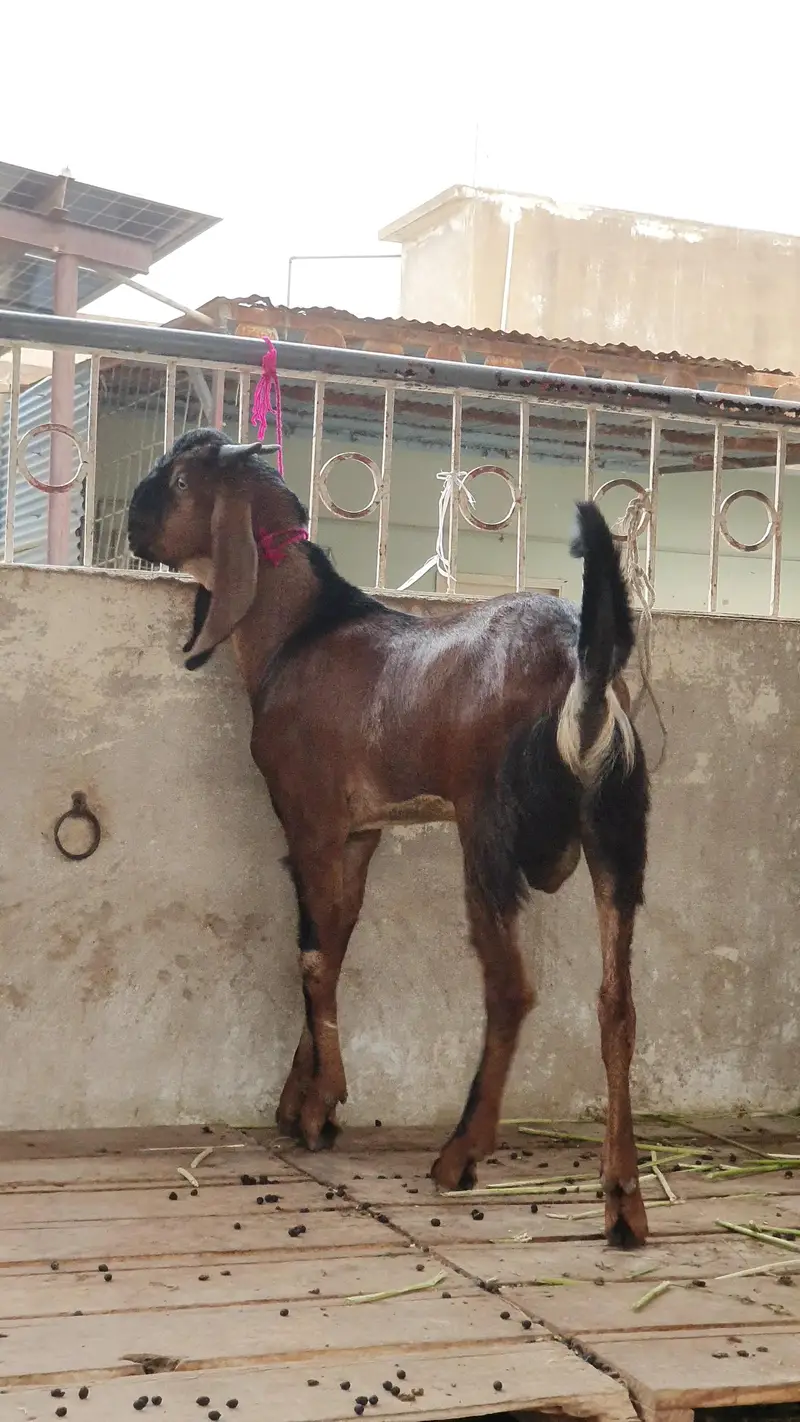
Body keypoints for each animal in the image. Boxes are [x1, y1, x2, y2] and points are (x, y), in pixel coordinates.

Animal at [128, 428, 650, 1248]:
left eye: (178, 481)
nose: (129, 524)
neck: (300, 632)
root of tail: (585, 681)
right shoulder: (362, 831)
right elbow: (335, 940)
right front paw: (302, 1099)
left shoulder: (308, 815)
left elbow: (311, 956)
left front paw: (320, 1108)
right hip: (618, 834)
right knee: (616, 1004)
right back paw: (623, 1199)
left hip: (487, 832)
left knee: (510, 988)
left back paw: (460, 1155)